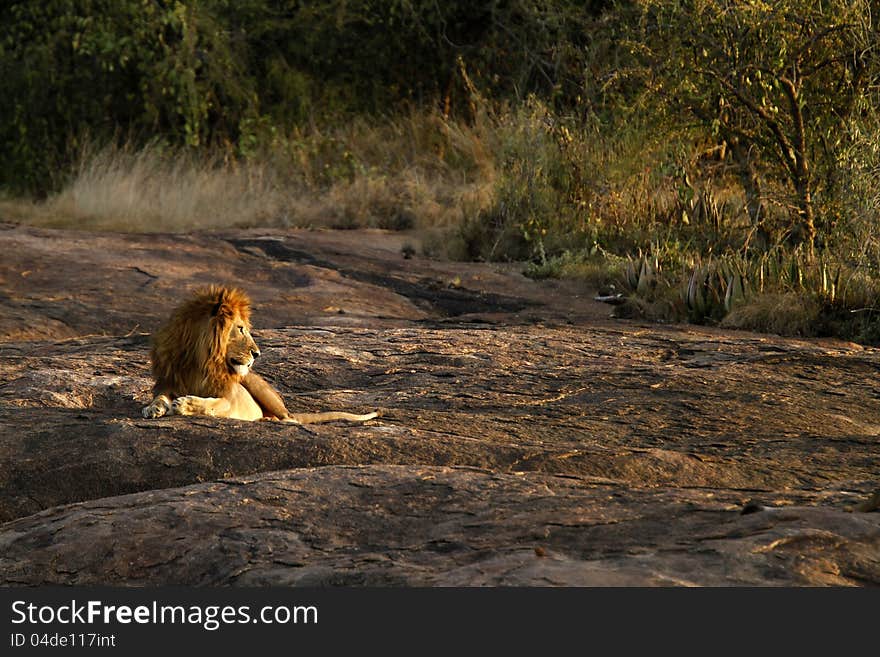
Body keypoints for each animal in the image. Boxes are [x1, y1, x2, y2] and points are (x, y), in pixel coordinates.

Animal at [141, 284, 378, 422]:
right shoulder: (169, 382)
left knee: (290, 418)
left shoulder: (229, 397)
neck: (202, 361)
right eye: (240, 328)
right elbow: (160, 396)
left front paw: (184, 404)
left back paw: (269, 420)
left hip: (259, 388)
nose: (257, 354)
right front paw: (153, 408)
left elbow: (212, 404)